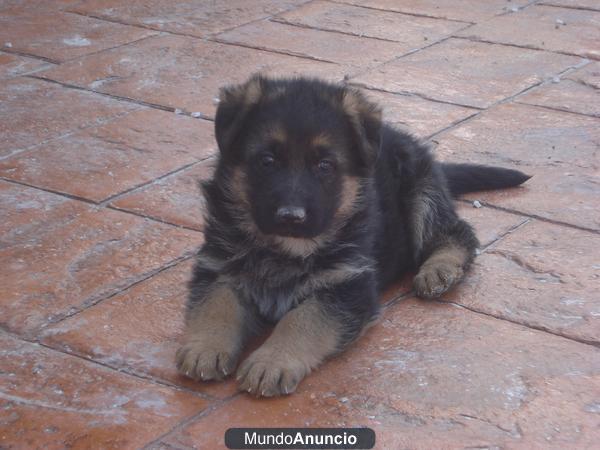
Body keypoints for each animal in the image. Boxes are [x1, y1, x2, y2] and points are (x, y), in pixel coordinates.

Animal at [175, 74, 528, 398]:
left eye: (325, 165)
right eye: (267, 161)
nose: (291, 217)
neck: (285, 250)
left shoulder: (348, 285)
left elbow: (303, 318)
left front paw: (272, 361)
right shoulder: (218, 265)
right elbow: (217, 302)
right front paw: (204, 346)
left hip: (420, 191)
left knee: (455, 232)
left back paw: (439, 270)